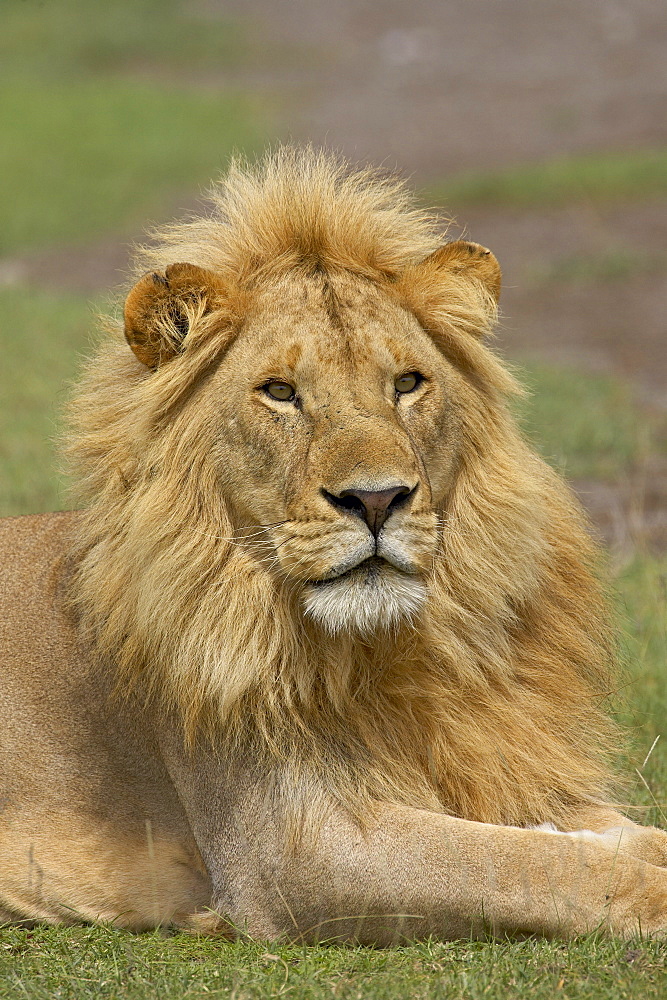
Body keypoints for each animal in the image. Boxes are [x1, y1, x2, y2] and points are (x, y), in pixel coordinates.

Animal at [1, 145, 667, 940]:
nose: (376, 500)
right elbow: (531, 865)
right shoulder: (287, 852)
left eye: (407, 383)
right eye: (281, 392)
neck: (392, 651)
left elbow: (610, 836)